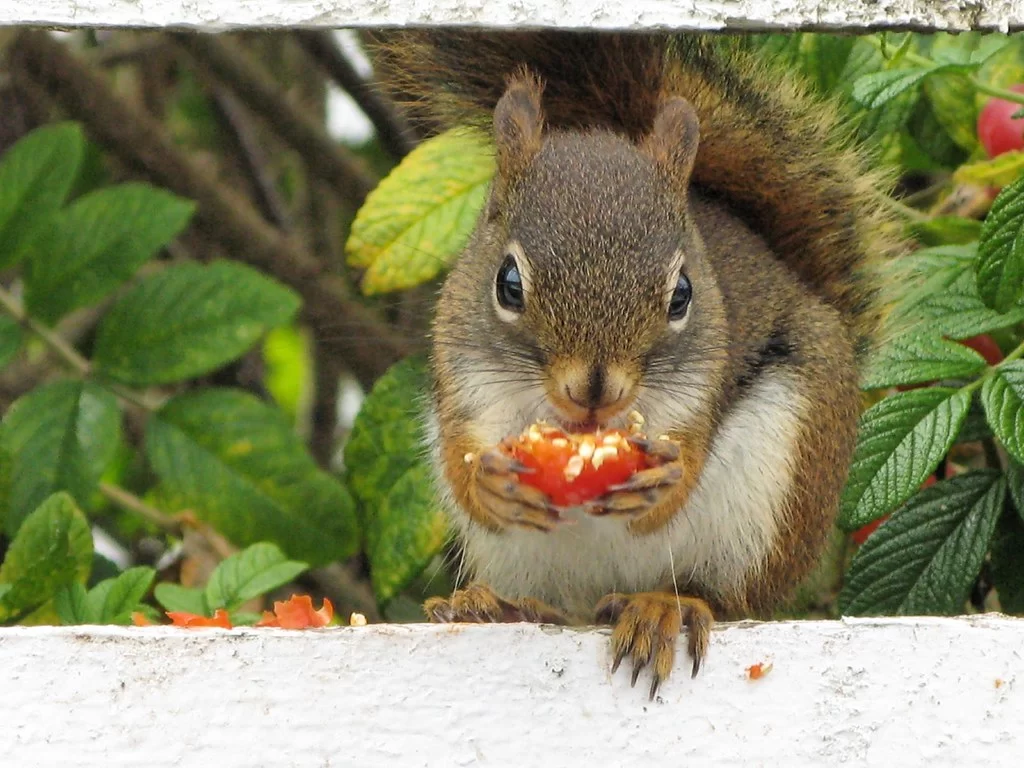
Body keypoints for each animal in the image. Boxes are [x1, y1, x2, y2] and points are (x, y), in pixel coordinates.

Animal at [372, 33, 901, 700]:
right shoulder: (462, 377)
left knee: (725, 597)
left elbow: (685, 469)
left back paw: (663, 608)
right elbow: (459, 459)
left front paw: (663, 480)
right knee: (560, 607)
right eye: (508, 283)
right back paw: (496, 607)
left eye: (682, 295)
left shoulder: (700, 390)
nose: (595, 390)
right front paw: (490, 483)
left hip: (778, 492)